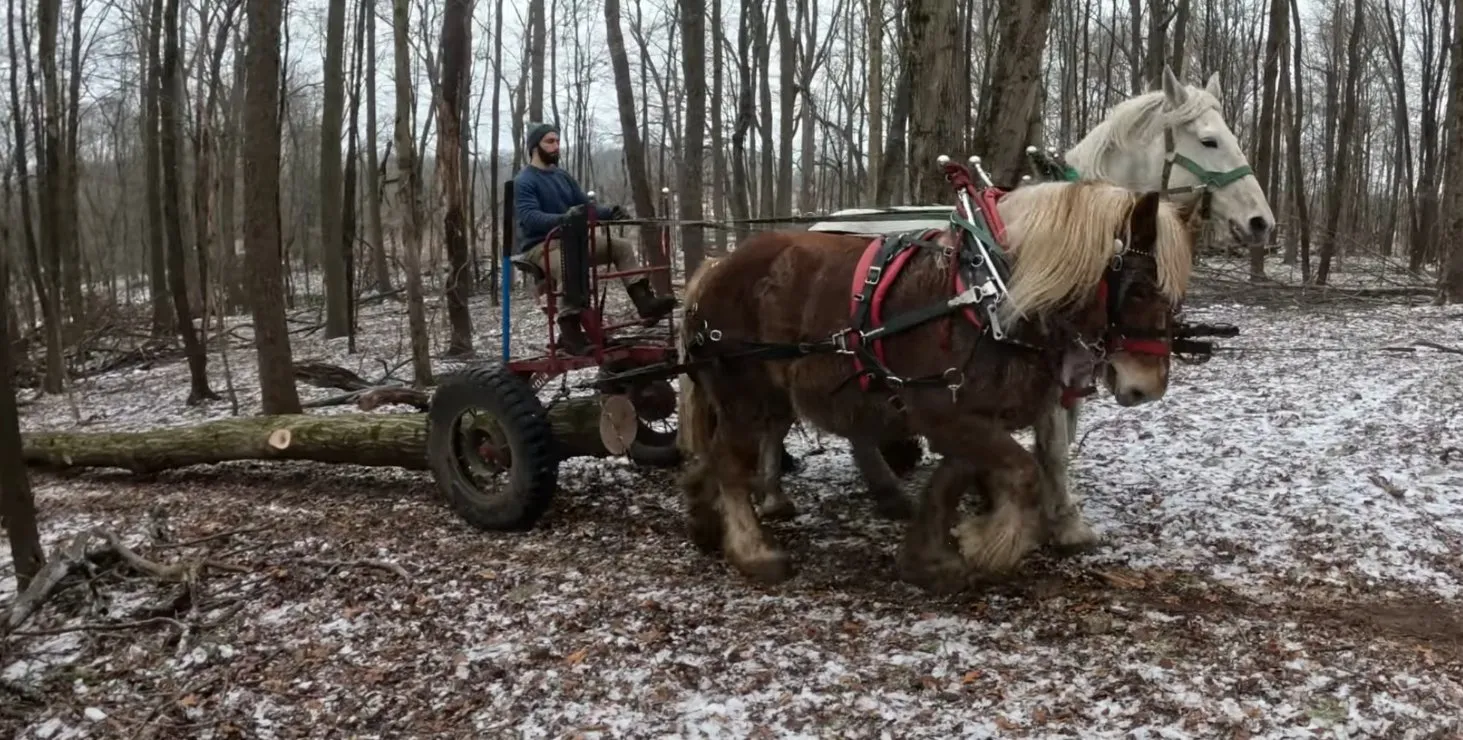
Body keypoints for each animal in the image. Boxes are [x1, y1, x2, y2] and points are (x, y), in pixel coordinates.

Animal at [675, 178, 1196, 591]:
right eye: (1141, 288)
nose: (1147, 387)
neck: (991, 292)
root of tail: (713, 271)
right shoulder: (944, 412)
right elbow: (1023, 472)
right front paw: (988, 543)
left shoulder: (971, 413)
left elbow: (954, 479)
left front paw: (932, 557)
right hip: (745, 396)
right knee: (730, 463)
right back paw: (753, 551)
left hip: (771, 398)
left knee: (722, 457)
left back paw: (705, 519)